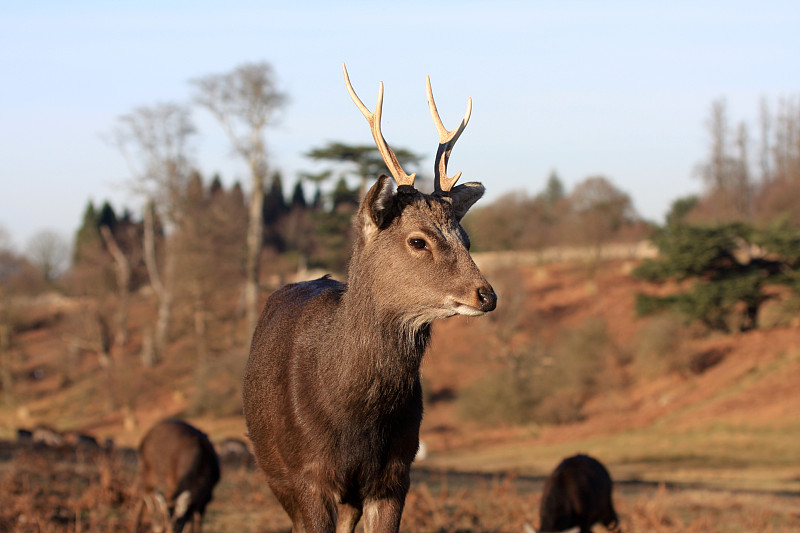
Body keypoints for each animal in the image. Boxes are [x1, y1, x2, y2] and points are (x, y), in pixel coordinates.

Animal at [241, 63, 496, 532]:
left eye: (465, 237)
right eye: (417, 240)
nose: (486, 295)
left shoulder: (394, 475)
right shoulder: (307, 477)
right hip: (273, 471)